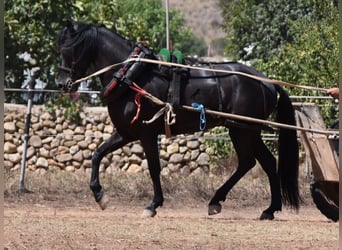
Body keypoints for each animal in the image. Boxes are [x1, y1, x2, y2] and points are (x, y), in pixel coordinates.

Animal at [56, 21, 300, 221]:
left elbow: (154, 167)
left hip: (243, 131)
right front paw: (99, 195)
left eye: (69, 49)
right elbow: (97, 154)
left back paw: (224, 202)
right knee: (263, 162)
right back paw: (266, 209)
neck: (132, 76)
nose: (61, 83)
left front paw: (153, 205)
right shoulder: (126, 132)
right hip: (248, 130)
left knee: (249, 162)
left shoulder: (146, 133)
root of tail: (266, 82)